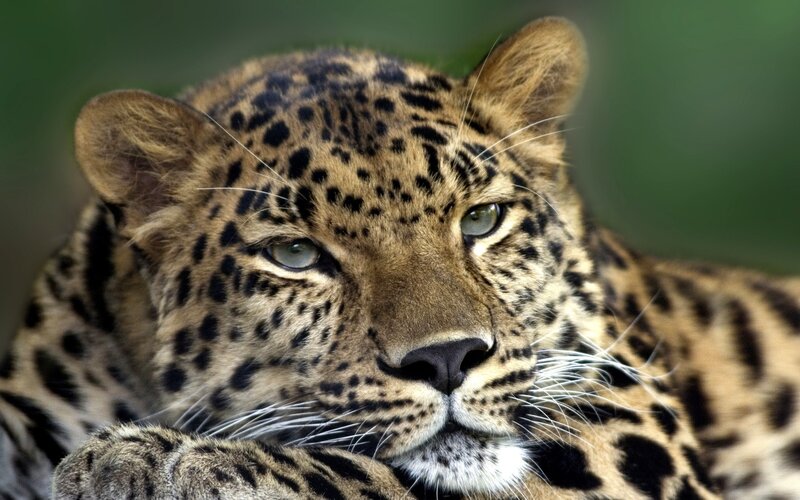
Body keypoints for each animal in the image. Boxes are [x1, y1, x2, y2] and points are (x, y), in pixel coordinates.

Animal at [1, 16, 799, 499]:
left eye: (481, 219)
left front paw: (161, 459)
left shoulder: (630, 425)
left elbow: (371, 473)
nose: (446, 360)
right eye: (296, 254)